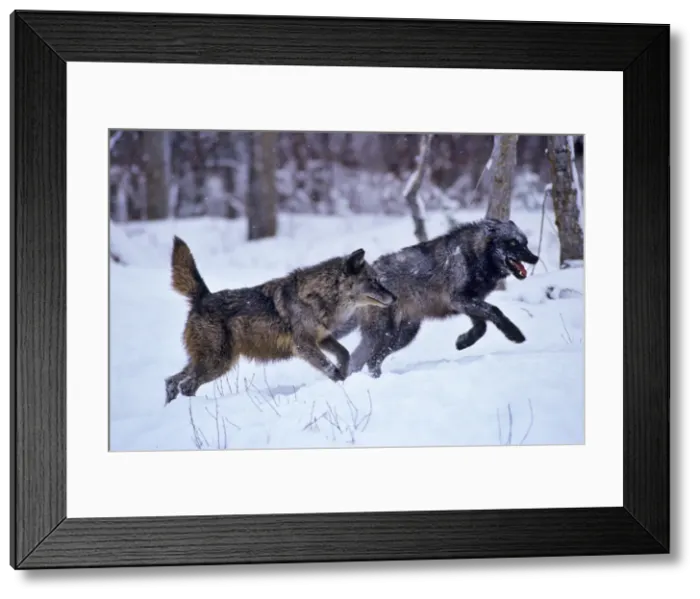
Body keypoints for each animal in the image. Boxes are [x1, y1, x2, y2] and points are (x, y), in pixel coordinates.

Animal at [164, 237, 396, 404]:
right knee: (186, 385)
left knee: (171, 380)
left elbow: (345, 354)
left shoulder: (322, 339)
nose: (394, 297)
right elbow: (330, 368)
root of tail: (203, 296)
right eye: (373, 281)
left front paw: (344, 372)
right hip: (218, 363)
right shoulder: (304, 346)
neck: (317, 297)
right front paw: (341, 382)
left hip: (207, 362)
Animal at [342, 217, 539, 378]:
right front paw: (514, 334)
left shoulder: (469, 301)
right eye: (512, 243)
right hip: (384, 334)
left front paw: (463, 342)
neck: (474, 256)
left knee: (368, 360)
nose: (535, 258)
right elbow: (495, 311)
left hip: (403, 335)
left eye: (525, 243)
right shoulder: (459, 299)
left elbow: (481, 327)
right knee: (361, 360)